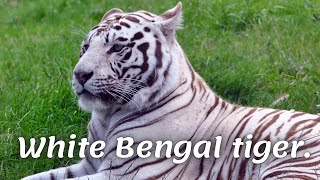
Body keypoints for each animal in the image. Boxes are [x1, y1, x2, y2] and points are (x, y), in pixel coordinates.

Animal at [23, 2, 320, 180]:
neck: (107, 116)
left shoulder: (124, 173)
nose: (79, 74)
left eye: (117, 47)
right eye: (85, 48)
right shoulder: (89, 165)